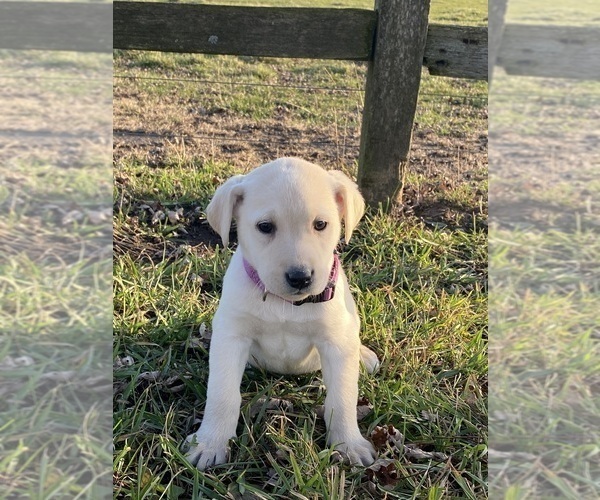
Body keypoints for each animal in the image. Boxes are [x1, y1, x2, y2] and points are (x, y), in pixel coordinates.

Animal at [185, 158, 378, 470]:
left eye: (321, 224)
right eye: (265, 227)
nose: (300, 277)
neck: (285, 303)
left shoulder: (336, 343)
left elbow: (342, 398)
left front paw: (349, 444)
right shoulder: (231, 338)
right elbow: (222, 393)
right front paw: (210, 442)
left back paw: (364, 355)